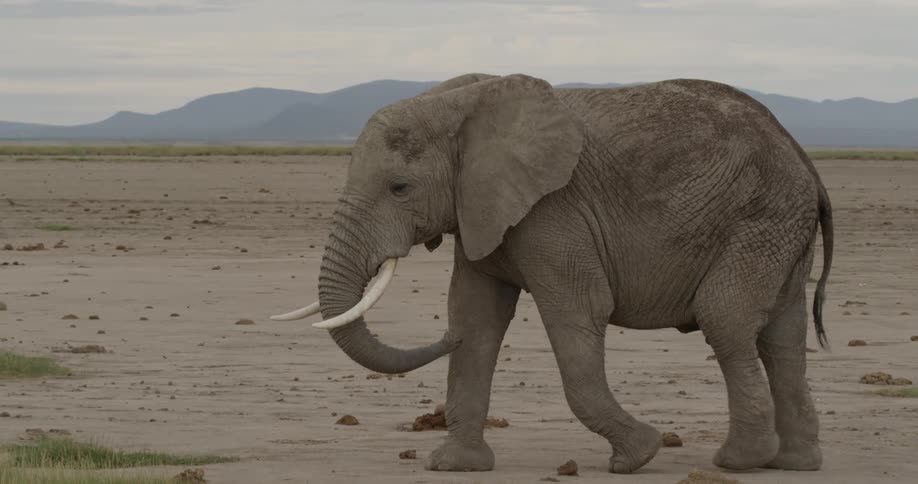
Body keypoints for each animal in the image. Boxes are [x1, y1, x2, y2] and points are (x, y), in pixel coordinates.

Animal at [271, 72, 834, 474]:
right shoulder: (482, 208)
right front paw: (455, 467)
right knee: (782, 338)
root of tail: (802, 156)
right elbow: (475, 319)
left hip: (760, 218)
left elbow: (577, 313)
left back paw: (739, 462)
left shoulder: (555, 210)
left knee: (726, 320)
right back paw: (794, 464)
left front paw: (638, 456)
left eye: (400, 188)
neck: (464, 101)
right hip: (781, 227)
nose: (439, 340)